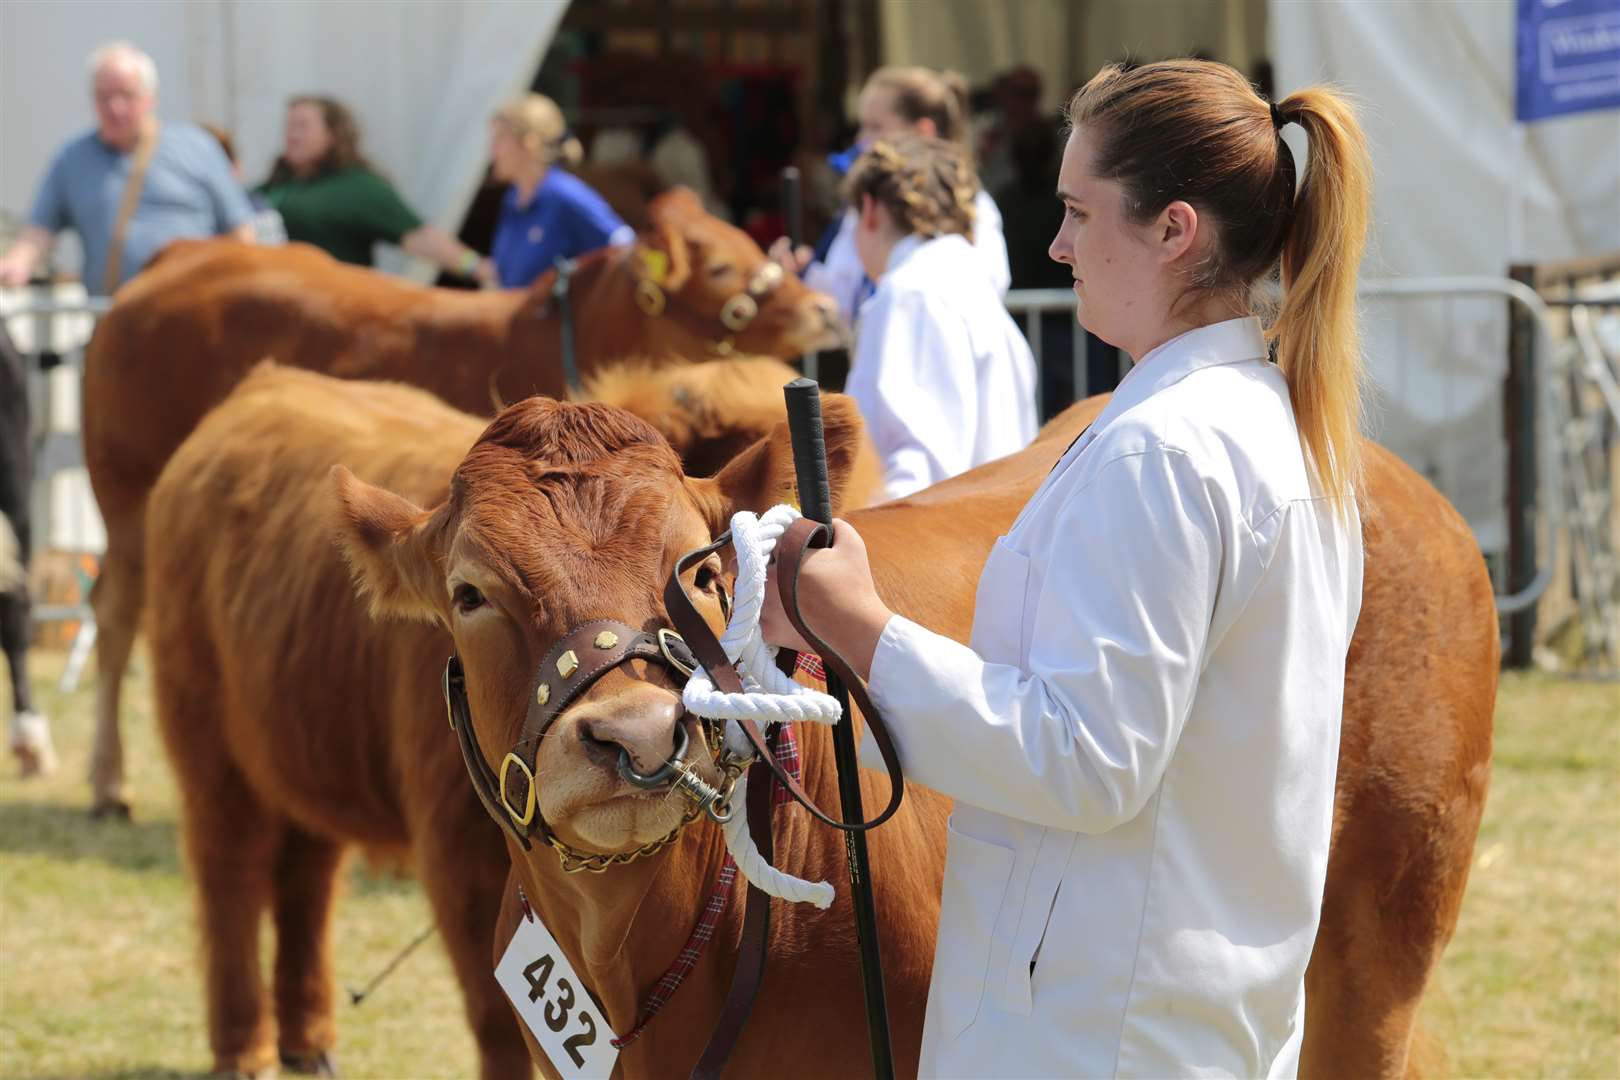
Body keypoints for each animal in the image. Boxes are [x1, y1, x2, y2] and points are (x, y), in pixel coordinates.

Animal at [82, 186, 842, 816]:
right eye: (719, 267)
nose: (824, 307)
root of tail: (179, 259)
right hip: (123, 504)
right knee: (114, 618)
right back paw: (107, 782)